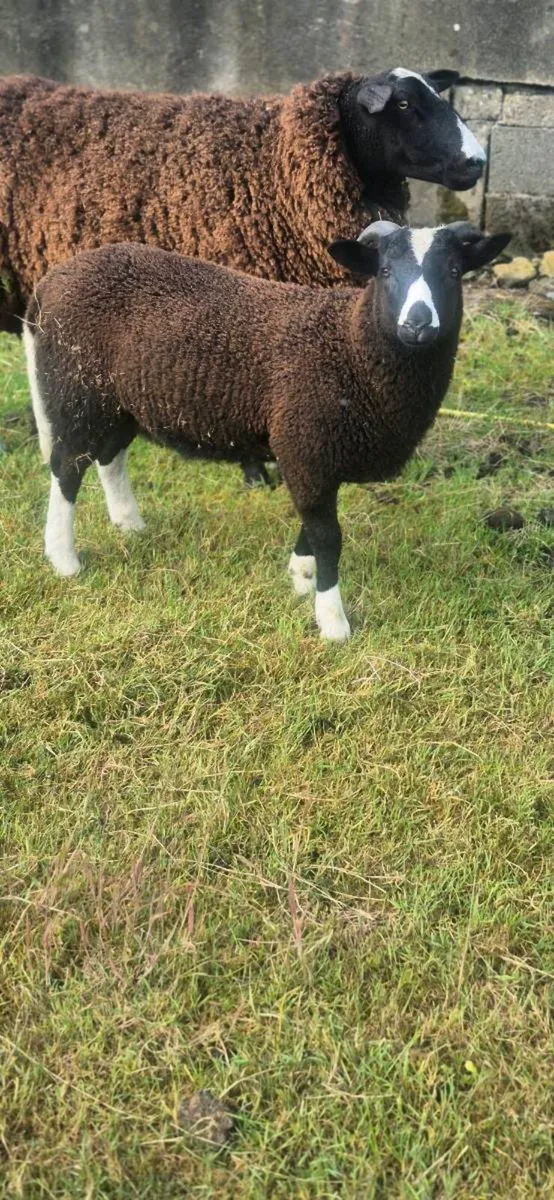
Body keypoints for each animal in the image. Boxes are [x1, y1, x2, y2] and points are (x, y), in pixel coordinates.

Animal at [23, 220, 509, 640]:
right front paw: (332, 621)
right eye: (385, 271)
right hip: (77, 388)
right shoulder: (305, 444)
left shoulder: (316, 453)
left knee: (109, 456)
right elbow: (328, 536)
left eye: (453, 272)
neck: (352, 349)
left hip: (120, 401)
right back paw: (64, 559)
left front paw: (301, 578)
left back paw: (129, 525)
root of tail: (49, 283)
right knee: (67, 468)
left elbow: (313, 526)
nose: (418, 323)